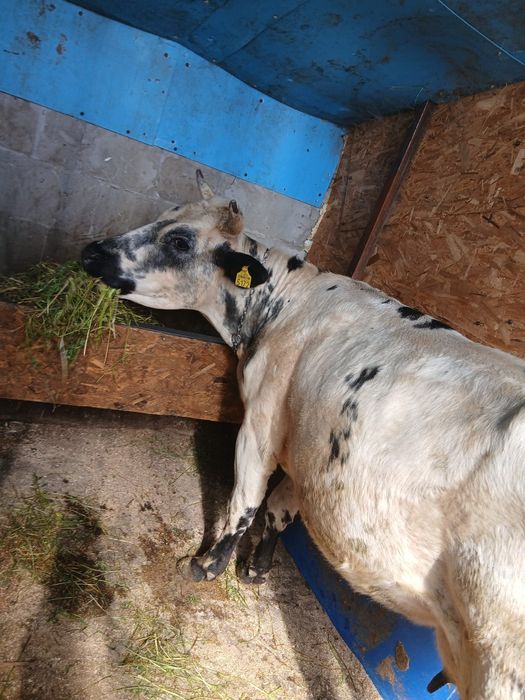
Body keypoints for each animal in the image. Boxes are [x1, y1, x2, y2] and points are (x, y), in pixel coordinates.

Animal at [81, 171, 525, 700]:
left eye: (180, 240)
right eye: (165, 215)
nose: (91, 251)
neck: (280, 311)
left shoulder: (262, 424)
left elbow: (246, 499)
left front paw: (207, 566)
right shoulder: (313, 447)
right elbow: (279, 509)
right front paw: (256, 569)